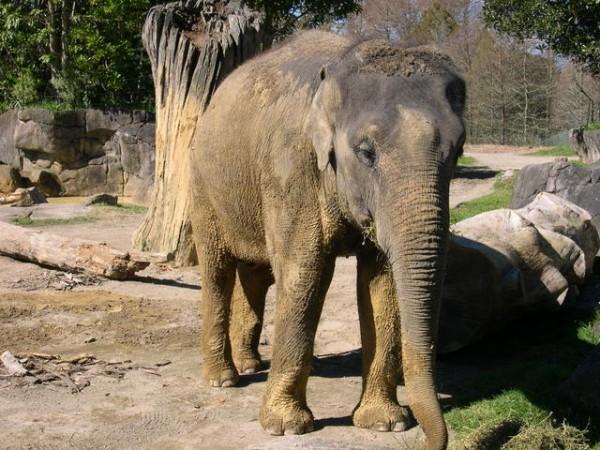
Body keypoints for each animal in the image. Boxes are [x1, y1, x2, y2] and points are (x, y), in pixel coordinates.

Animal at [190, 30, 466, 450]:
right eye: (366, 152)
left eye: (459, 150)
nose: (428, 441)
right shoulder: (291, 169)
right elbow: (306, 273)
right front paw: (285, 427)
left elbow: (383, 282)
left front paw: (385, 424)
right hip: (204, 186)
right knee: (217, 269)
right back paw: (224, 379)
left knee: (256, 273)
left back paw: (252, 364)